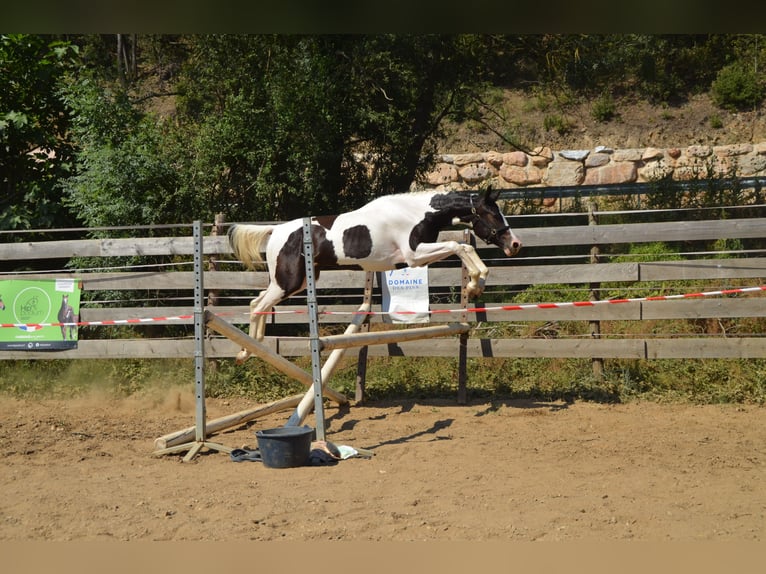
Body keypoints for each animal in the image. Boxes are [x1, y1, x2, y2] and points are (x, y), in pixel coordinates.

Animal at [228, 188, 522, 364]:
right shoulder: (413, 255)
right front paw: (474, 283)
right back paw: (246, 351)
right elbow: (459, 245)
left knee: (258, 301)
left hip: (294, 282)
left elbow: (462, 246)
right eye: (492, 214)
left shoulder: (414, 257)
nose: (515, 244)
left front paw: (476, 283)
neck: (417, 213)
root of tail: (275, 231)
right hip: (287, 283)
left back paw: (252, 348)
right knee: (258, 304)